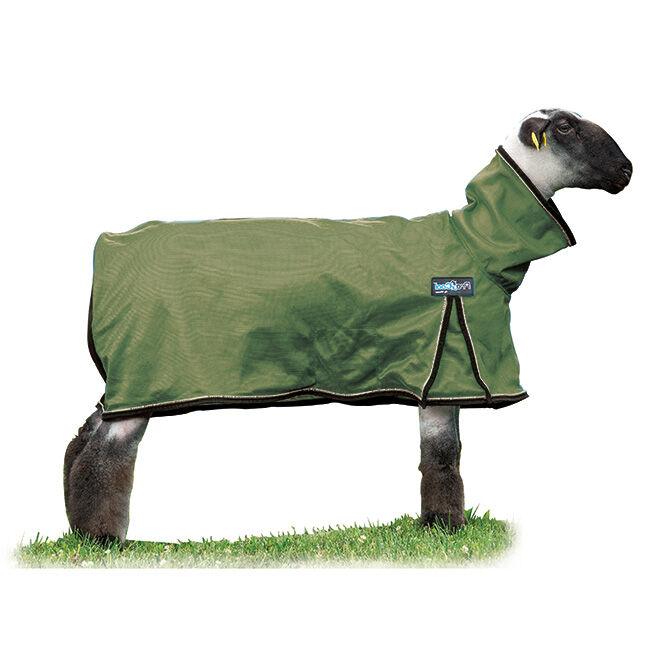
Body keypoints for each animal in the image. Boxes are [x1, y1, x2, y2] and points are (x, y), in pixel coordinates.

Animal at [64, 108, 632, 542]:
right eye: (565, 127)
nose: (627, 171)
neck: (477, 241)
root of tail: (108, 246)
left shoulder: (438, 381)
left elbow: (437, 456)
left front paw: (435, 526)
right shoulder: (447, 372)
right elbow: (444, 459)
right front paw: (448, 530)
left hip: (126, 379)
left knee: (85, 434)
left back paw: (77, 522)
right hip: (145, 374)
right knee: (106, 453)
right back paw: (102, 537)